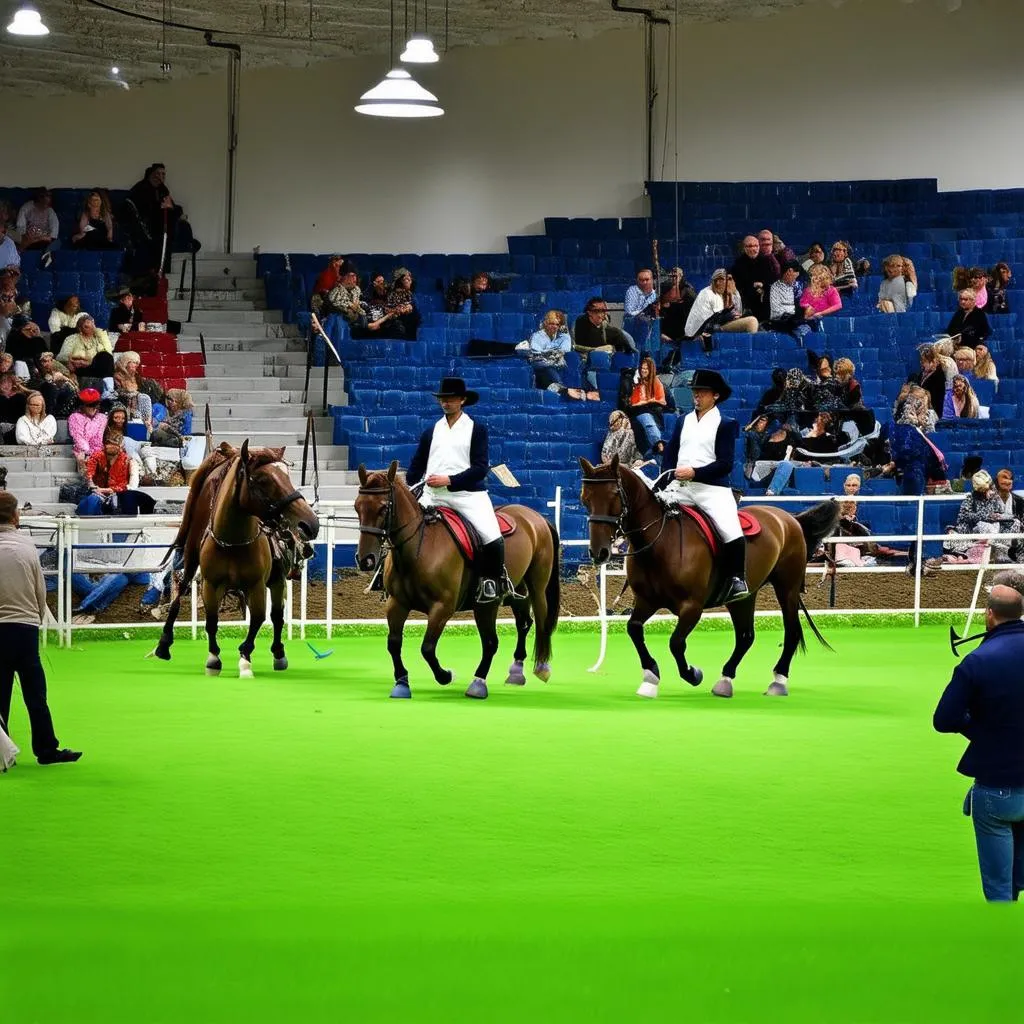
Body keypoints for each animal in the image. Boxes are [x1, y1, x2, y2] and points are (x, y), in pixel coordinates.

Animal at [151, 438, 317, 671]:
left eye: (287, 476)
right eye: (263, 480)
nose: (311, 524)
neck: (233, 543)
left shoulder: (257, 585)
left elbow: (259, 618)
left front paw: (245, 652)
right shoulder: (211, 585)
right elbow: (212, 620)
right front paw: (213, 657)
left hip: (277, 579)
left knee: (276, 616)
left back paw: (278, 653)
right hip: (191, 556)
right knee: (179, 593)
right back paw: (164, 643)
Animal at [352, 462, 561, 696]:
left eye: (383, 508)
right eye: (357, 507)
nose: (366, 560)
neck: (419, 548)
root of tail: (535, 516)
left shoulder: (442, 607)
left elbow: (427, 648)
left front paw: (445, 675)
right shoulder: (397, 603)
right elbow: (394, 643)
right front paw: (402, 682)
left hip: (534, 588)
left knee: (536, 622)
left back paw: (539, 667)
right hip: (512, 594)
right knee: (519, 626)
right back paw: (514, 671)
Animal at [581, 456, 835, 696]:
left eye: (614, 495)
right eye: (586, 498)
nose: (598, 552)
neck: (661, 542)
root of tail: (790, 518)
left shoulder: (692, 607)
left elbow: (676, 643)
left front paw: (692, 674)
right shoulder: (646, 600)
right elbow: (634, 629)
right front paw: (650, 676)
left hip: (787, 589)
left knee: (791, 633)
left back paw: (778, 681)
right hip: (743, 597)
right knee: (746, 636)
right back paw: (725, 680)